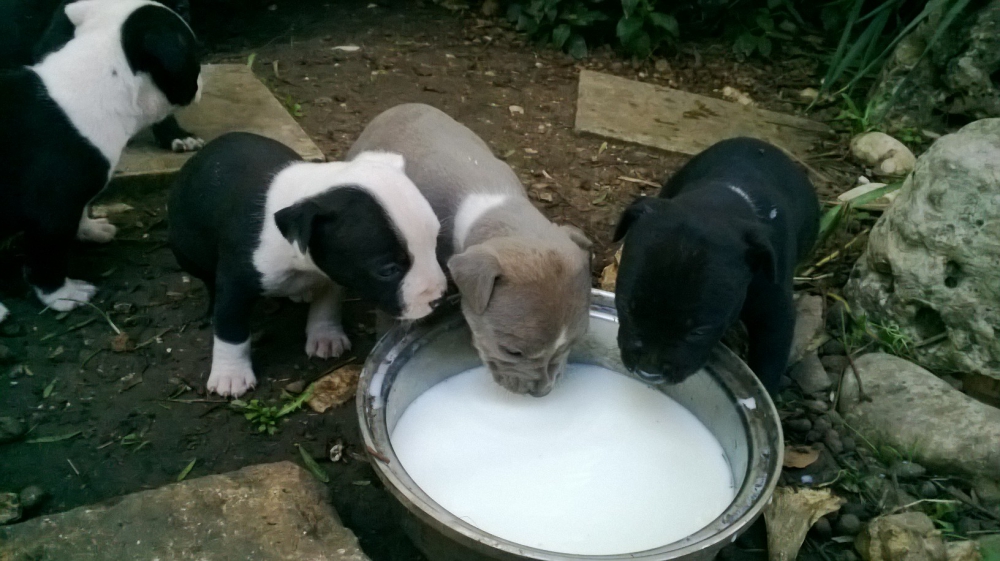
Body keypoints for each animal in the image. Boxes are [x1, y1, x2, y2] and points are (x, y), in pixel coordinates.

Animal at [168, 132, 446, 396]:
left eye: (435, 243)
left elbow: (326, 304)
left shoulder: (332, 274)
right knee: (207, 280)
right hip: (186, 249)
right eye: (387, 270)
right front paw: (230, 374)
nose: (439, 298)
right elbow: (230, 328)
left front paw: (325, 336)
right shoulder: (236, 282)